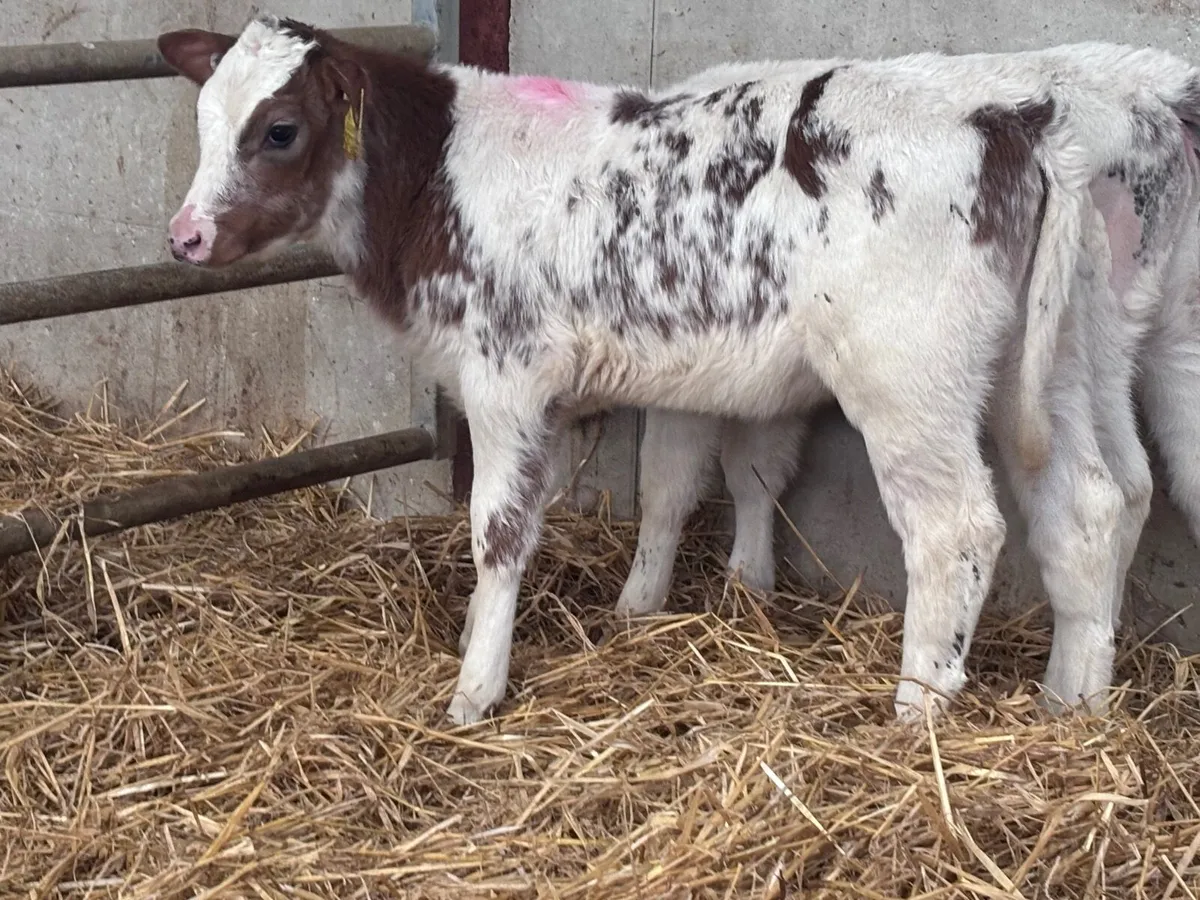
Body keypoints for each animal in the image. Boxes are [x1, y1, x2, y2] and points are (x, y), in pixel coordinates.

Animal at [156, 15, 1200, 725]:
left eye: (279, 130)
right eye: (203, 119)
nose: (186, 237)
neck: (442, 180)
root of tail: (1016, 118)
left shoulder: (505, 376)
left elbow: (500, 531)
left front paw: (475, 687)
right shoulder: (674, 374)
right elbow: (675, 484)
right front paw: (641, 608)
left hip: (911, 379)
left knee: (958, 529)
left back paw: (918, 711)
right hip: (1067, 357)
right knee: (1094, 499)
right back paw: (1073, 704)